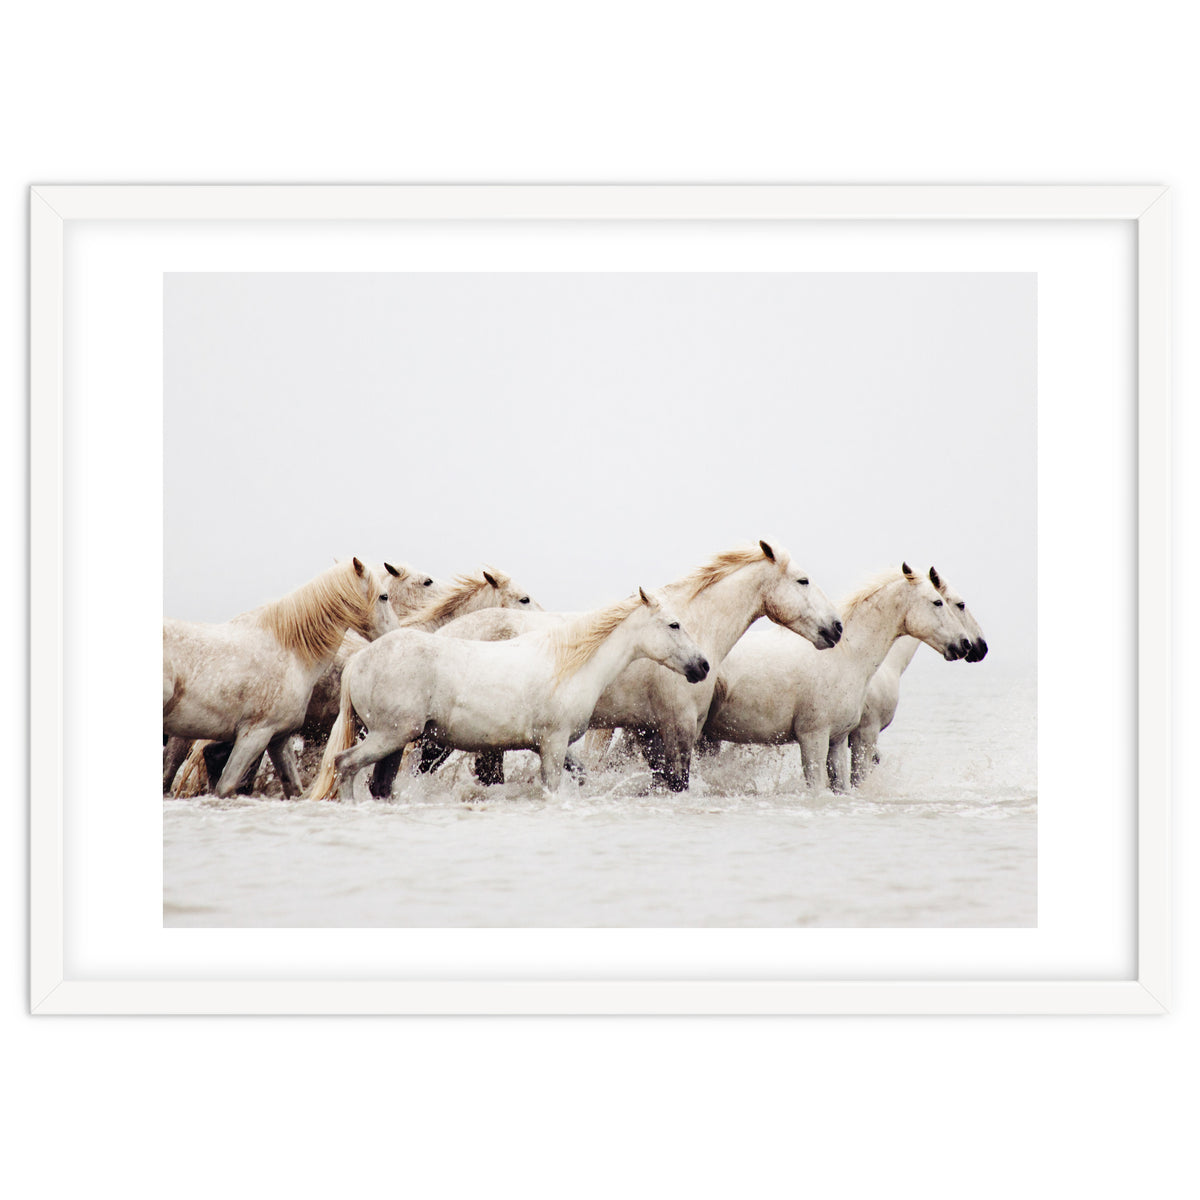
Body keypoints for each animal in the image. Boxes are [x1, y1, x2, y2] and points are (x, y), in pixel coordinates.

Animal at [309, 588, 711, 799]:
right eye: (674, 625)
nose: (702, 666)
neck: (568, 664)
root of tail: (359, 659)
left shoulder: (551, 746)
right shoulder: (553, 744)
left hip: (395, 741)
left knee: (378, 783)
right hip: (391, 736)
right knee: (345, 765)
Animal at [424, 541, 843, 791]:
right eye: (803, 580)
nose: (836, 628)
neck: (693, 626)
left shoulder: (649, 732)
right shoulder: (677, 729)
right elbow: (676, 782)